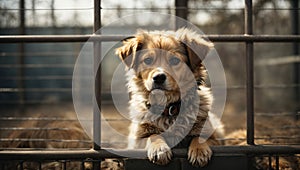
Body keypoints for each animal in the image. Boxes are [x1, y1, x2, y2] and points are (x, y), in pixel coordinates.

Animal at [116, 27, 224, 167]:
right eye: (148, 60)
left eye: (175, 60)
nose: (158, 77)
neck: (169, 109)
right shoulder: (137, 141)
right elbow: (153, 136)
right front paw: (159, 149)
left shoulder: (214, 136)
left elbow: (199, 137)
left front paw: (199, 150)